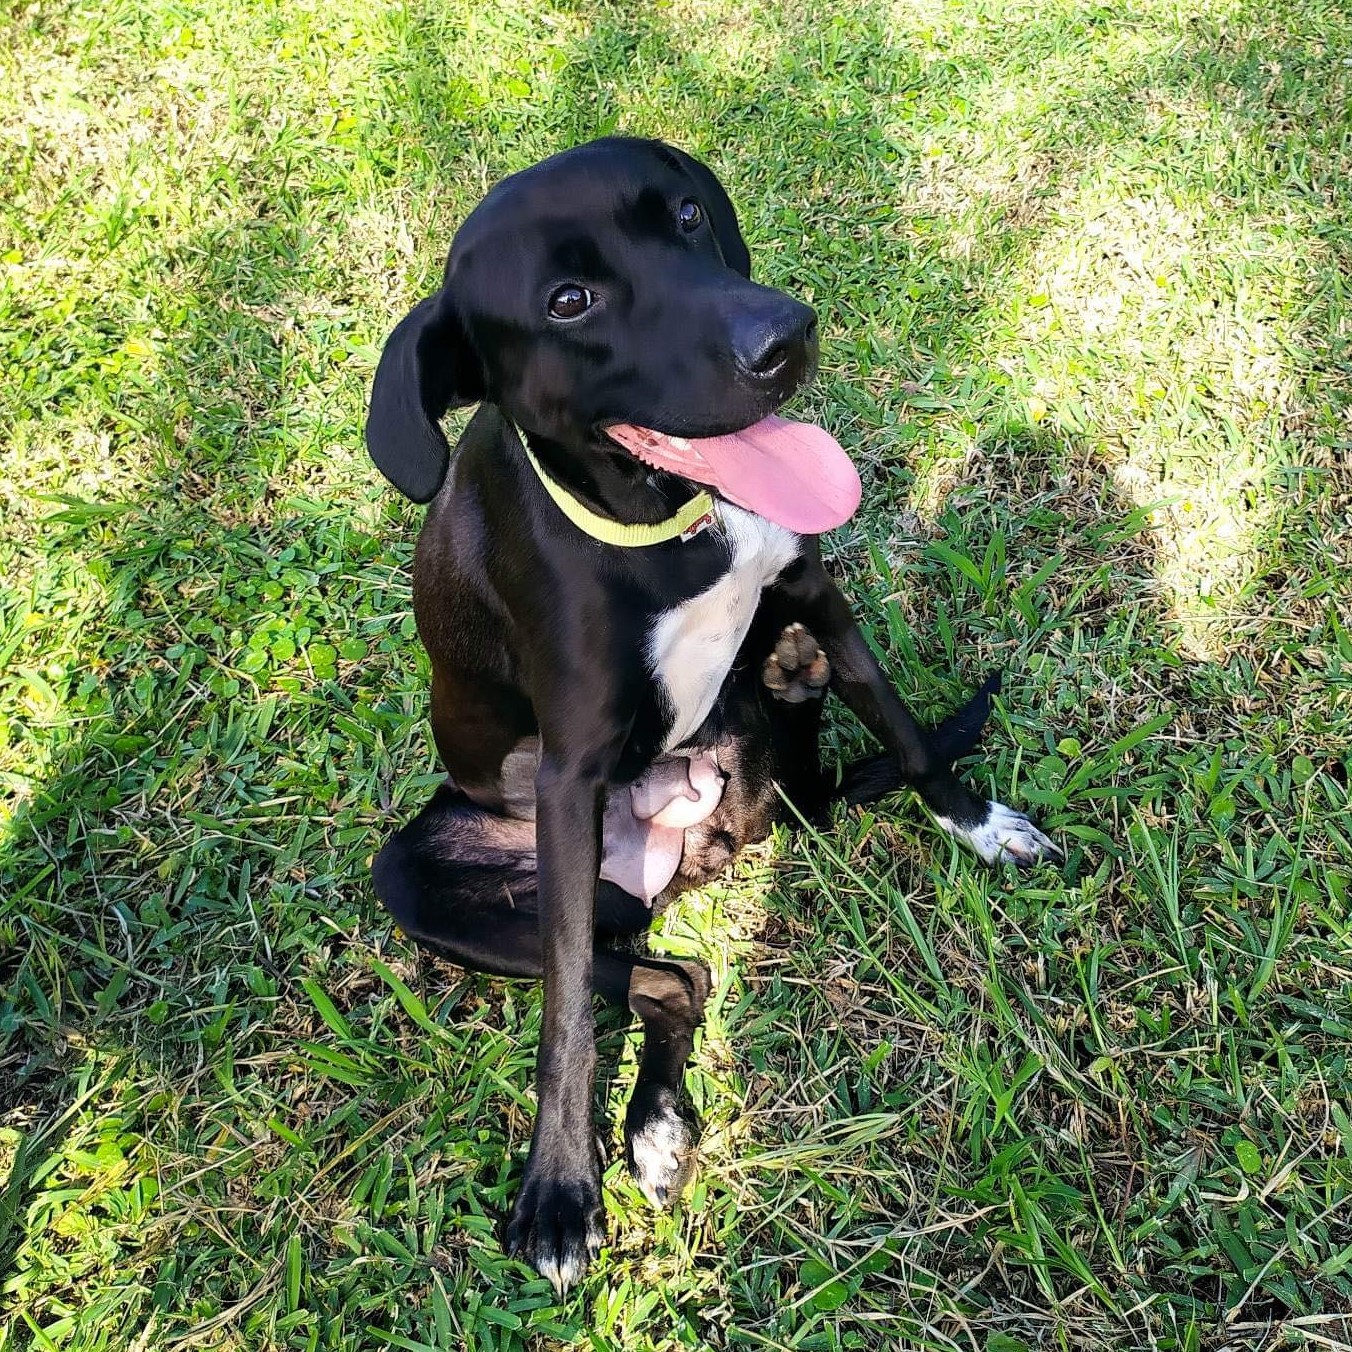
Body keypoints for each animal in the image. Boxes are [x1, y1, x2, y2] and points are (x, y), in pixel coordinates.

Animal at [365, 134, 1059, 1287]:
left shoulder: (813, 587)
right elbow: (566, 1013)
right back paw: (648, 1128)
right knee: (666, 978)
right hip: (443, 882)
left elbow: (904, 728)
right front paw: (559, 1189)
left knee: (681, 967)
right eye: (567, 299)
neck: (671, 523)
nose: (786, 336)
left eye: (688, 215)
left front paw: (977, 821)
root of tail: (677, 850)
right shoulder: (568, 775)